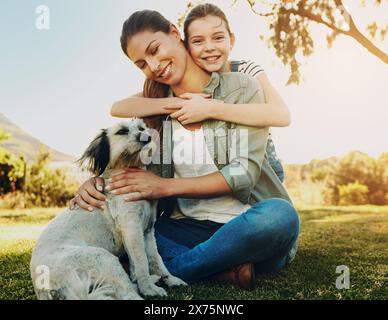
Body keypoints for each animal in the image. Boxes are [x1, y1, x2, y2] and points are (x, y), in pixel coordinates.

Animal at [31, 118, 186, 300]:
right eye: (122, 131)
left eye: (141, 128)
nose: (147, 137)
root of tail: (43, 288)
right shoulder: (131, 228)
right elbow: (142, 262)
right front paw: (149, 288)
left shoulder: (147, 231)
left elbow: (155, 260)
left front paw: (170, 279)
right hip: (103, 258)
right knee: (128, 294)